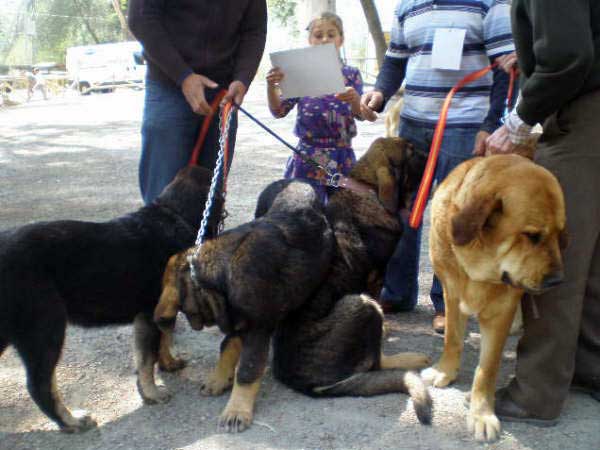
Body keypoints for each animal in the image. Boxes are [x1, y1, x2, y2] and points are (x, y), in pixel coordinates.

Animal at [0, 165, 221, 432]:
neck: (172, 215)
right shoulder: (148, 315)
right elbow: (147, 358)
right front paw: (152, 393)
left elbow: (162, 342)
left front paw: (168, 363)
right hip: (45, 330)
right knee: (40, 385)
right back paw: (72, 421)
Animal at [422, 154, 568, 440]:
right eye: (532, 236)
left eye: (559, 234)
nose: (557, 281)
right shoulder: (451, 294)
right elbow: (452, 339)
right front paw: (445, 370)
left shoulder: (501, 309)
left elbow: (486, 368)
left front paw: (482, 414)